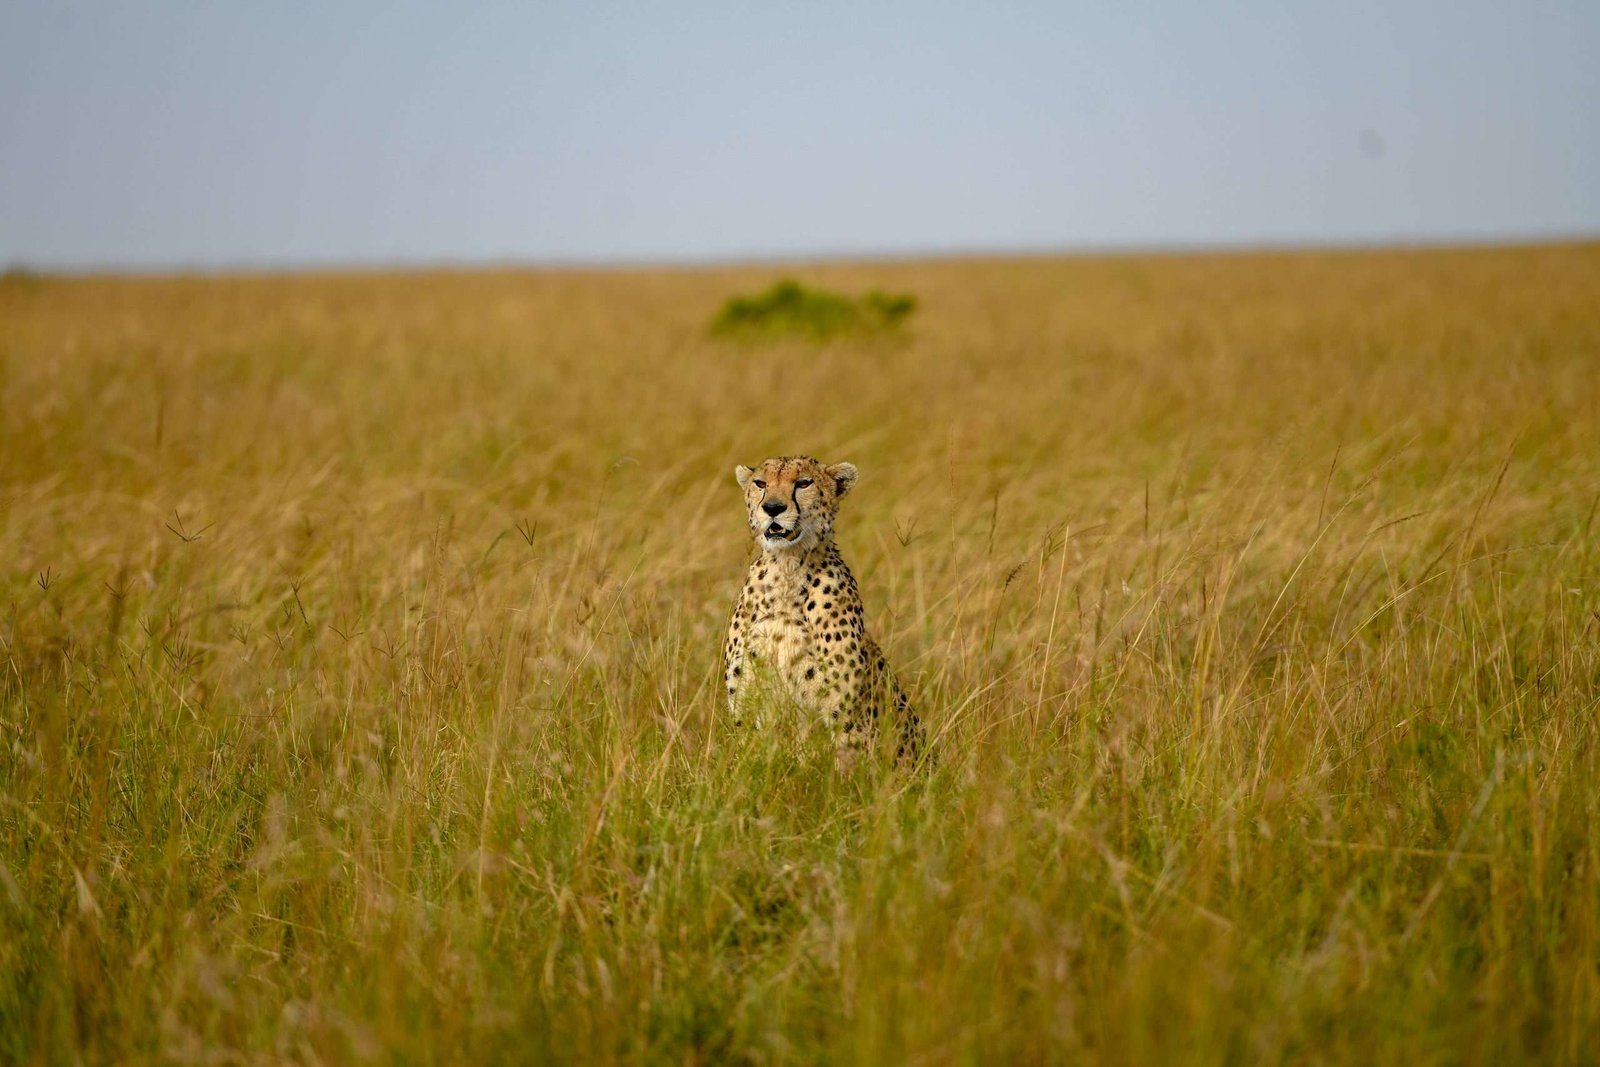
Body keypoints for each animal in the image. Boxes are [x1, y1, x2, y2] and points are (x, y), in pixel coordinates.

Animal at [722, 455, 922, 762]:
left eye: (804, 483)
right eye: (760, 483)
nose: (773, 508)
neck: (786, 570)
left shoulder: (844, 715)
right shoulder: (746, 707)